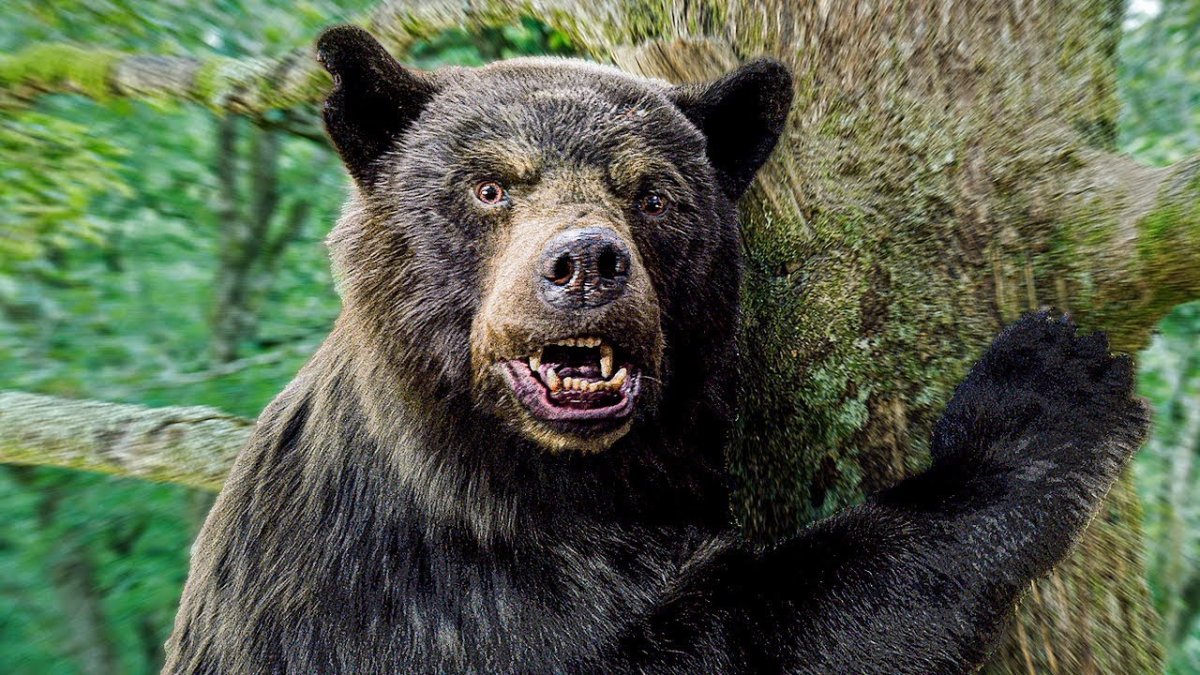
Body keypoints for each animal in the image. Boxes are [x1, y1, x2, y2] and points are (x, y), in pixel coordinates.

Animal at [163, 25, 1148, 674]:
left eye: (655, 193)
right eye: (489, 186)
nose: (586, 262)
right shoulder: (428, 595)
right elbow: (746, 629)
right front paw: (1044, 388)